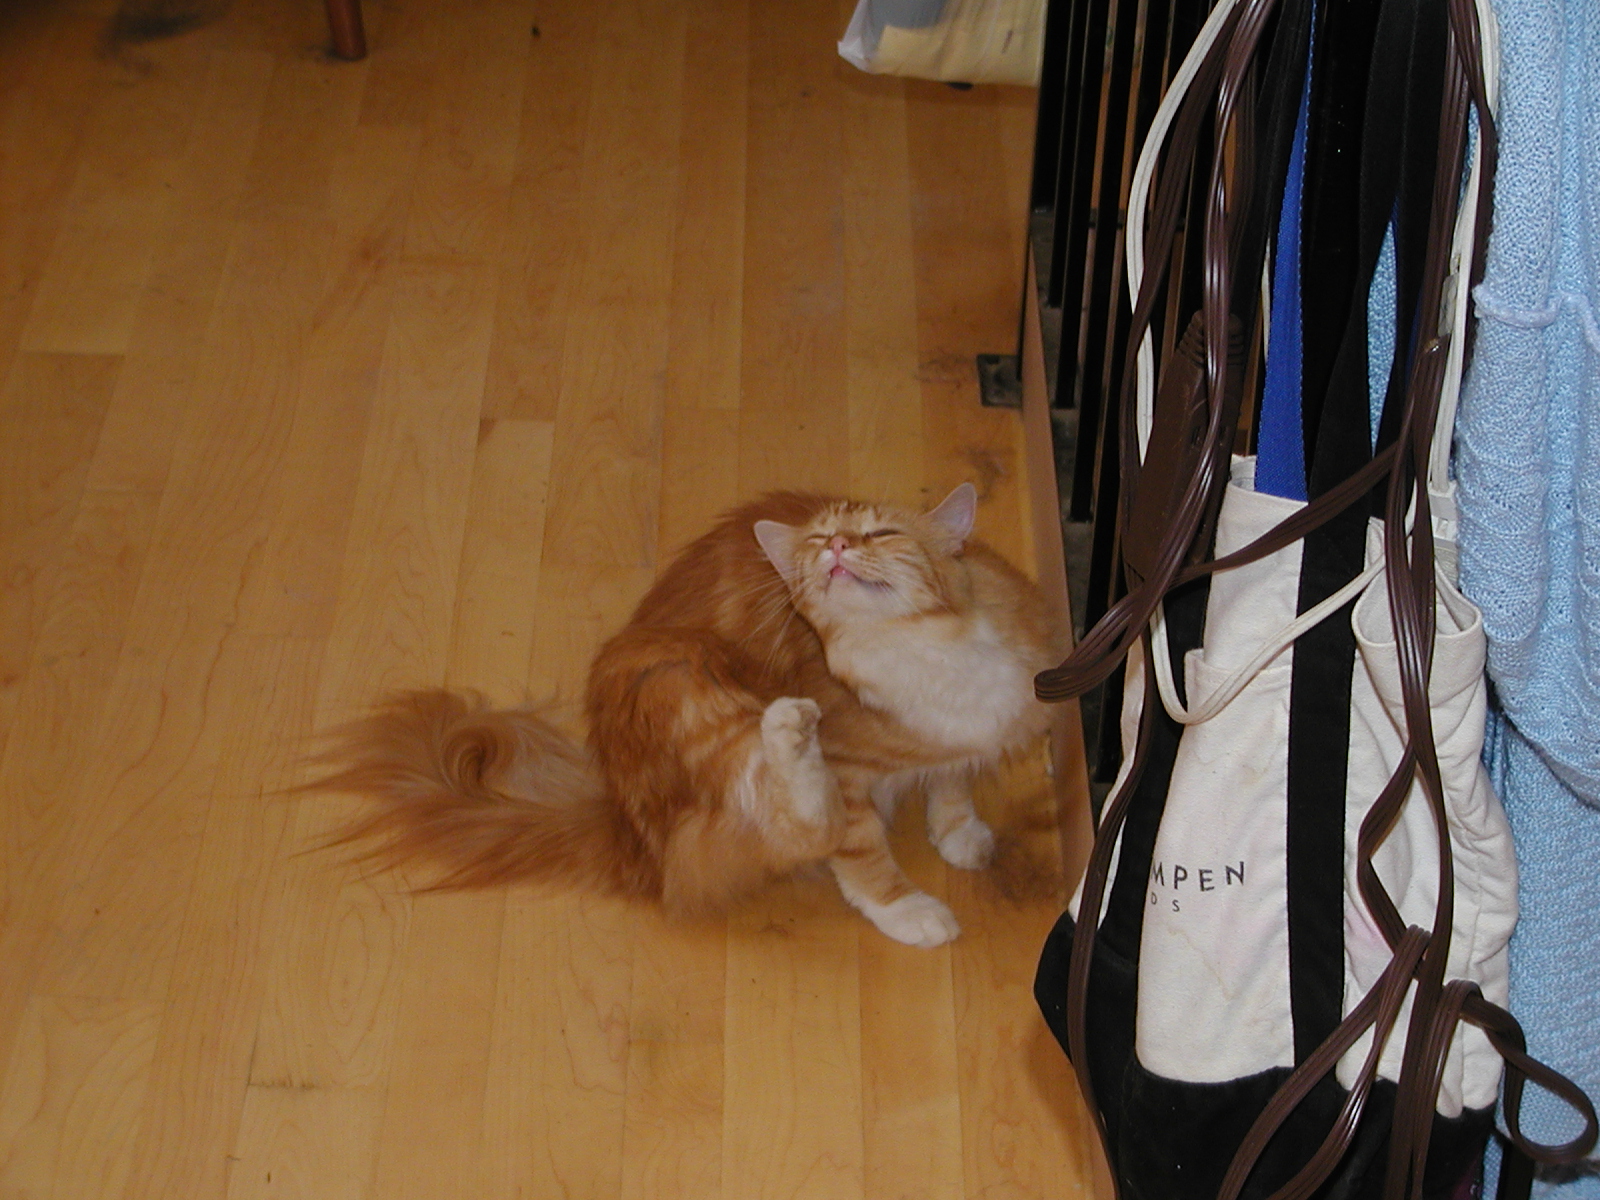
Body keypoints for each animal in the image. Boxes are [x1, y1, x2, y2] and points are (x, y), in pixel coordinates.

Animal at [312, 483, 1060, 947]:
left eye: (879, 531)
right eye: (817, 543)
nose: (838, 549)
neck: (928, 649)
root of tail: (627, 825)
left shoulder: (980, 730)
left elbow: (955, 779)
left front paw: (959, 832)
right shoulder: (849, 770)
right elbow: (860, 853)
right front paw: (908, 909)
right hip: (687, 682)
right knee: (790, 824)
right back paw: (789, 733)